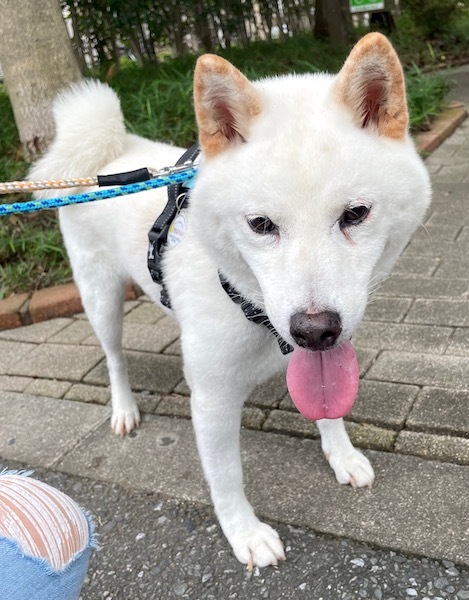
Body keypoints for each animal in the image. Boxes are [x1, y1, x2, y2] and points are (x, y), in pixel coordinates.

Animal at [30, 33, 431, 568]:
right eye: (261, 224)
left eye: (356, 214)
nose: (314, 330)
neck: (253, 313)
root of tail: (106, 155)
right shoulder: (213, 396)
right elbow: (226, 477)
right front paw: (246, 534)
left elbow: (329, 407)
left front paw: (342, 456)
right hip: (100, 298)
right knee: (114, 358)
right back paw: (124, 410)